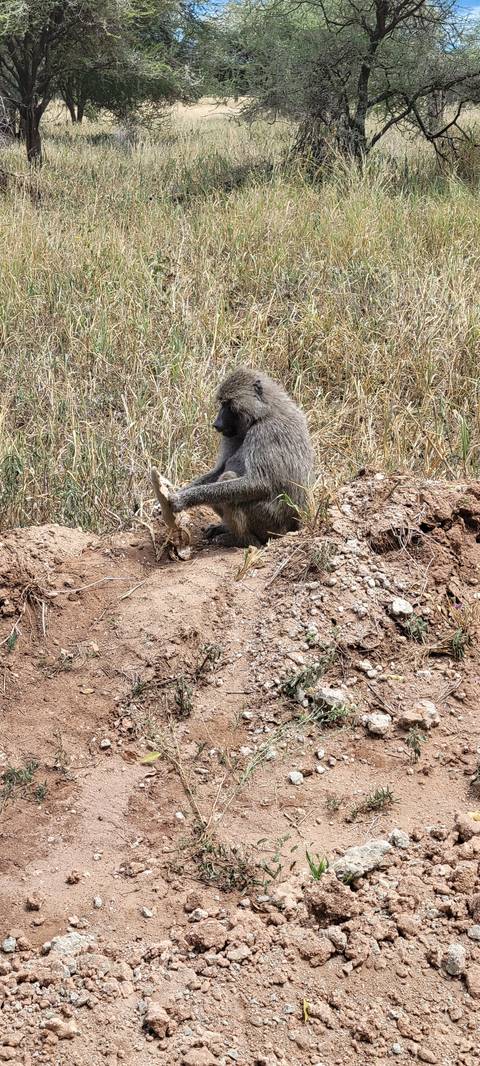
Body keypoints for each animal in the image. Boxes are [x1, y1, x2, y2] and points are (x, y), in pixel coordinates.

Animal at [168, 366, 315, 547]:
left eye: (228, 404)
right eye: (222, 403)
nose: (216, 424)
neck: (263, 413)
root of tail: (295, 525)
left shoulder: (265, 432)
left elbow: (258, 483)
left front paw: (183, 499)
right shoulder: (232, 434)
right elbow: (219, 470)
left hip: (274, 524)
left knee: (228, 478)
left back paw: (242, 541)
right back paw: (224, 529)